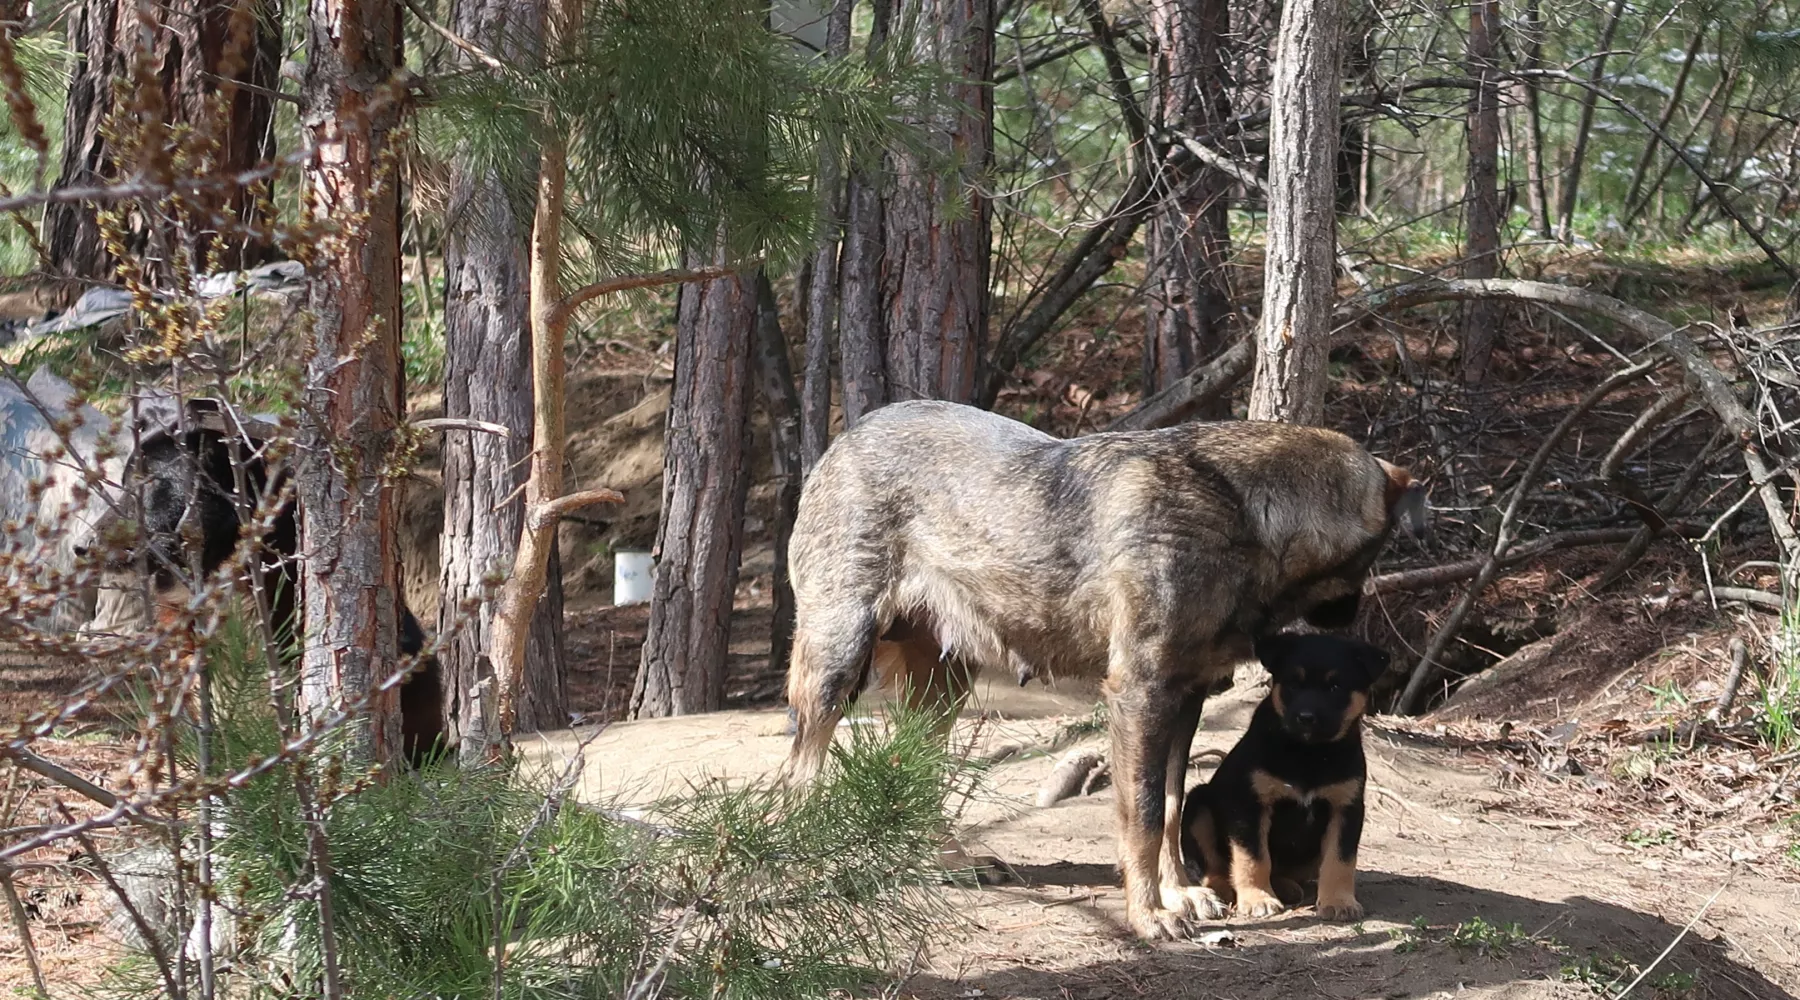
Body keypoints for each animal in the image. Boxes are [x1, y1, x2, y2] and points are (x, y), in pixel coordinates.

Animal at [1180, 633, 1389, 920]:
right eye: (1293, 683)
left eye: (1335, 687)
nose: (1306, 718)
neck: (1308, 752)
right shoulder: (1249, 805)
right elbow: (1254, 857)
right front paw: (1257, 898)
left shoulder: (1346, 807)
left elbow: (1340, 860)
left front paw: (1338, 901)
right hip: (1198, 804)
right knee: (1212, 865)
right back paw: (1223, 889)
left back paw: (1285, 886)